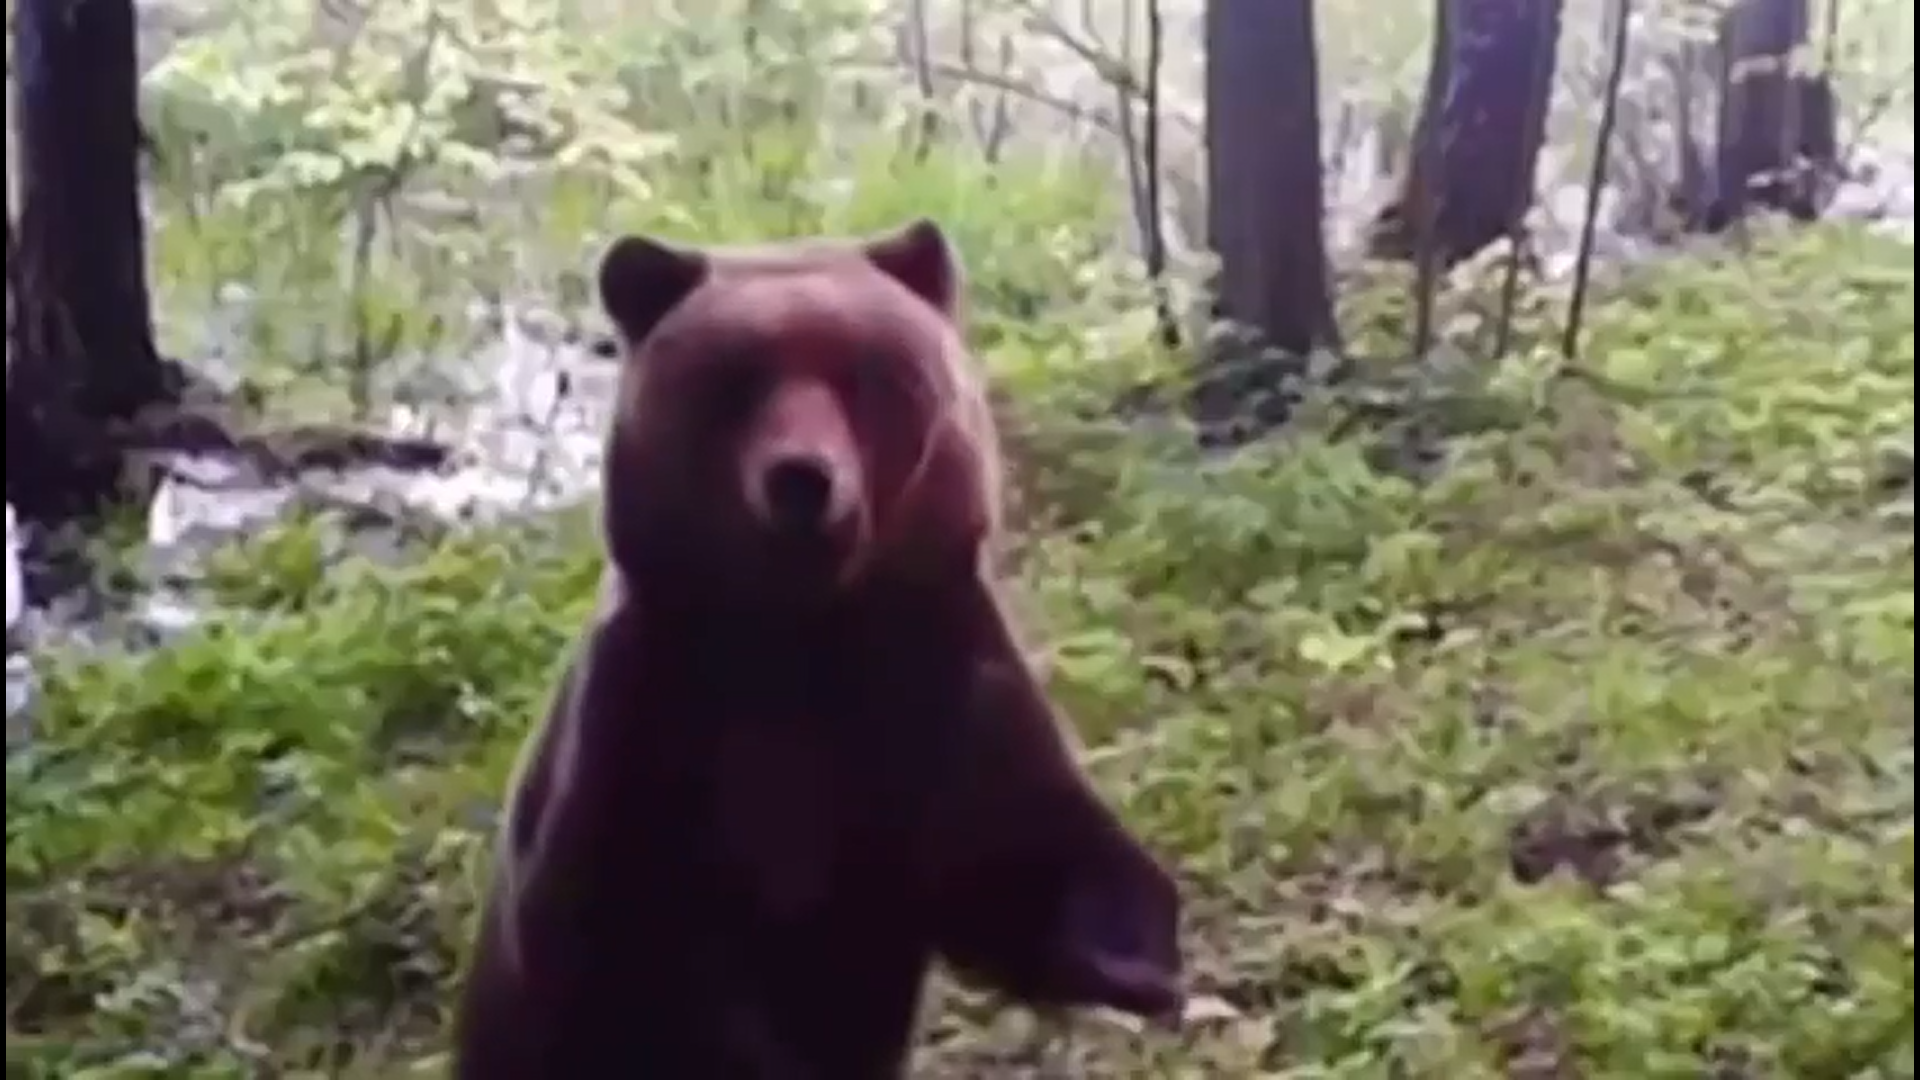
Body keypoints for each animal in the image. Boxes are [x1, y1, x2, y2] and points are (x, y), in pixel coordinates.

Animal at [449, 214, 1182, 1068]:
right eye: (737, 379)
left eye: (861, 374)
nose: (802, 477)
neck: (800, 630)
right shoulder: (649, 723)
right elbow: (636, 956)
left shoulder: (932, 680)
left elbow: (1014, 853)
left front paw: (1138, 955)